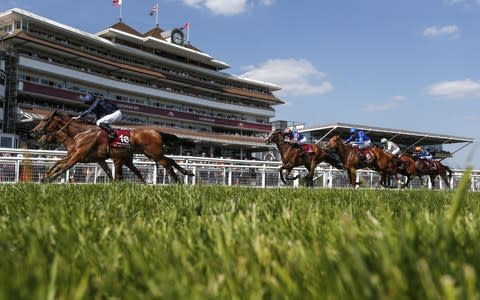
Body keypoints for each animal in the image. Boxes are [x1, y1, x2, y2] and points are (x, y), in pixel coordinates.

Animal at [31, 110, 195, 183]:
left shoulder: (78, 156)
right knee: (169, 161)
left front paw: (47, 179)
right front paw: (46, 176)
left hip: (153, 153)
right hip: (150, 153)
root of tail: (156, 131)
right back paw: (186, 173)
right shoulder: (95, 158)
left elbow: (63, 167)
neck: (81, 132)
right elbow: (58, 163)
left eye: (45, 119)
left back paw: (179, 181)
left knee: (167, 164)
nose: (33, 132)